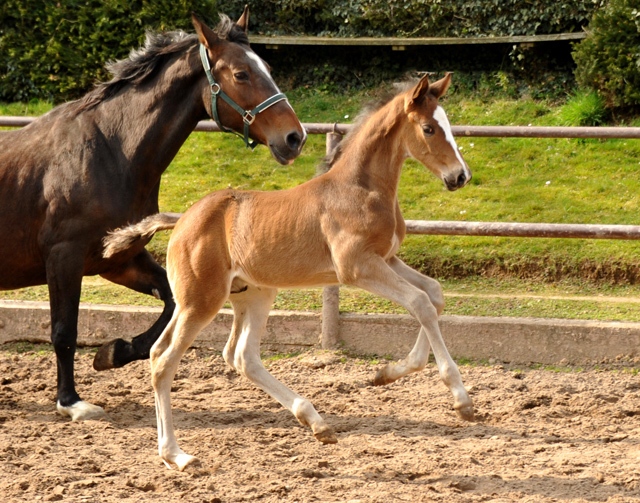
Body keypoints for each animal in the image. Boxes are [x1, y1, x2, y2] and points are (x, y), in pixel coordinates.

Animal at [0, 9, 304, 424]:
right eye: (241, 74)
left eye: (267, 68)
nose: (295, 138)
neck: (110, 151)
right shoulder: (64, 257)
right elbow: (64, 330)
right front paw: (71, 401)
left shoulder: (117, 259)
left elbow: (170, 303)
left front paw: (112, 352)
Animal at [105, 73, 472, 470]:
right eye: (429, 128)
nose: (460, 176)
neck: (359, 188)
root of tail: (181, 220)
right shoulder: (357, 267)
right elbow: (420, 303)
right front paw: (461, 398)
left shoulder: (386, 259)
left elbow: (434, 294)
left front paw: (385, 374)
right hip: (200, 300)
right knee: (165, 360)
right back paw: (176, 454)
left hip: (250, 294)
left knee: (238, 356)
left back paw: (316, 422)